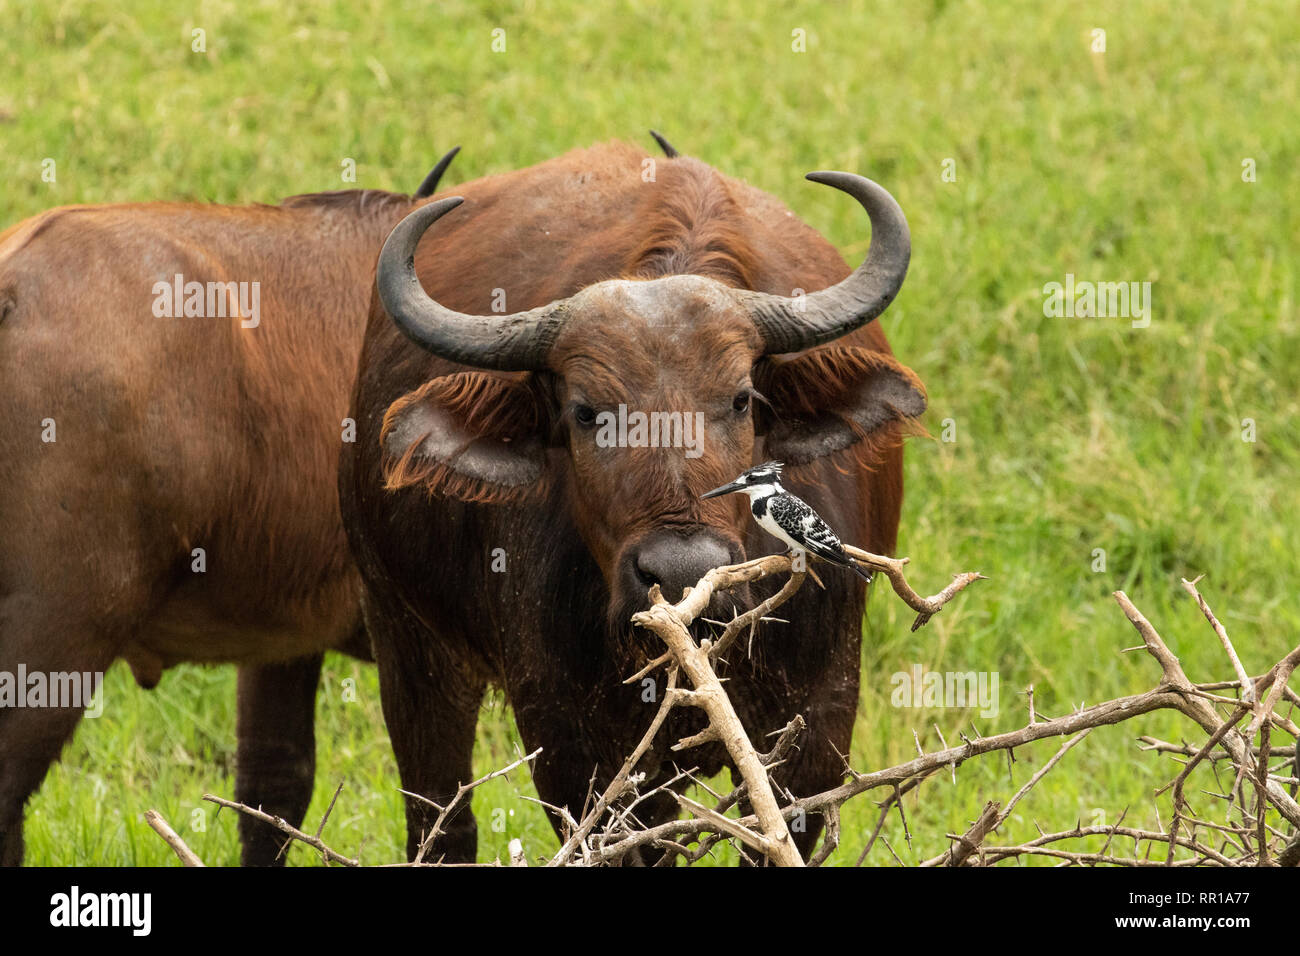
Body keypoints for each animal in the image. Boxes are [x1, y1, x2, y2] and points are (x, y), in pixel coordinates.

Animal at [340, 143, 930, 868]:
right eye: (585, 412)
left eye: (742, 399)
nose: (682, 573)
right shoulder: (581, 752)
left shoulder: (816, 732)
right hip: (406, 639)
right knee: (440, 820)